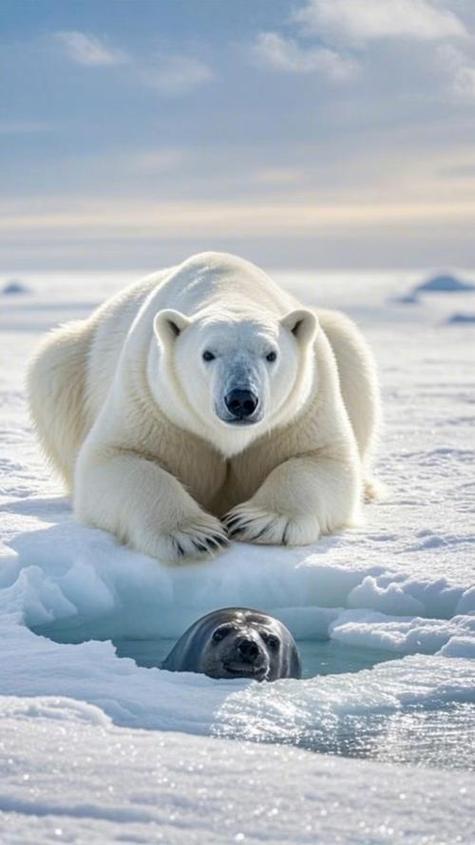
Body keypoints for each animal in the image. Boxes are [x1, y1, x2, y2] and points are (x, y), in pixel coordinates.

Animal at [27, 251, 381, 563]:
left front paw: (259, 521)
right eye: (207, 354)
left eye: (271, 354)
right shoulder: (150, 397)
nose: (241, 399)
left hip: (339, 344)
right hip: (74, 360)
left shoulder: (305, 404)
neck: (230, 288)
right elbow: (115, 458)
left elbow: (324, 459)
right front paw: (194, 535)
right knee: (52, 368)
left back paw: (368, 489)